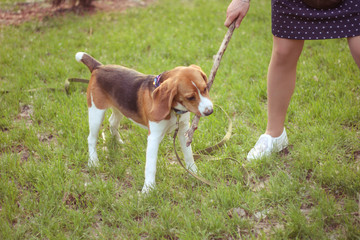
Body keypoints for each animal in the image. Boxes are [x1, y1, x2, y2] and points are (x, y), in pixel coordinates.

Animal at [74, 52, 212, 193]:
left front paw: (194, 173)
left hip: (120, 108)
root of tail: (98, 67)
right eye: (190, 97)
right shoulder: (154, 137)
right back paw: (93, 162)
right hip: (96, 112)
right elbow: (150, 166)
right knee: (91, 138)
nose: (210, 111)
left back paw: (118, 142)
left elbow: (188, 155)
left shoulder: (183, 130)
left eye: (205, 88)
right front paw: (148, 189)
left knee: (112, 122)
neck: (174, 110)